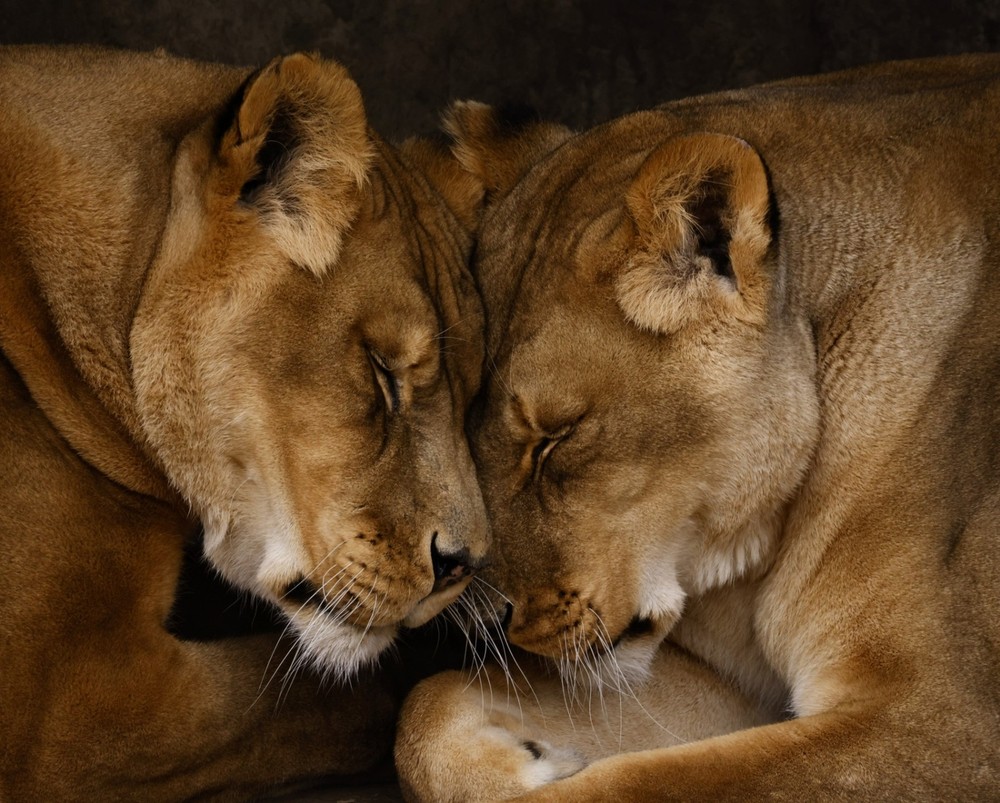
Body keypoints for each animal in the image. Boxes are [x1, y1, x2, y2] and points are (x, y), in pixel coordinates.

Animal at [396, 55, 1000, 801]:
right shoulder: (728, 681)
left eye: (557, 436)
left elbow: (648, 784)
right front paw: (522, 759)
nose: (498, 623)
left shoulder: (943, 715)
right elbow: (427, 701)